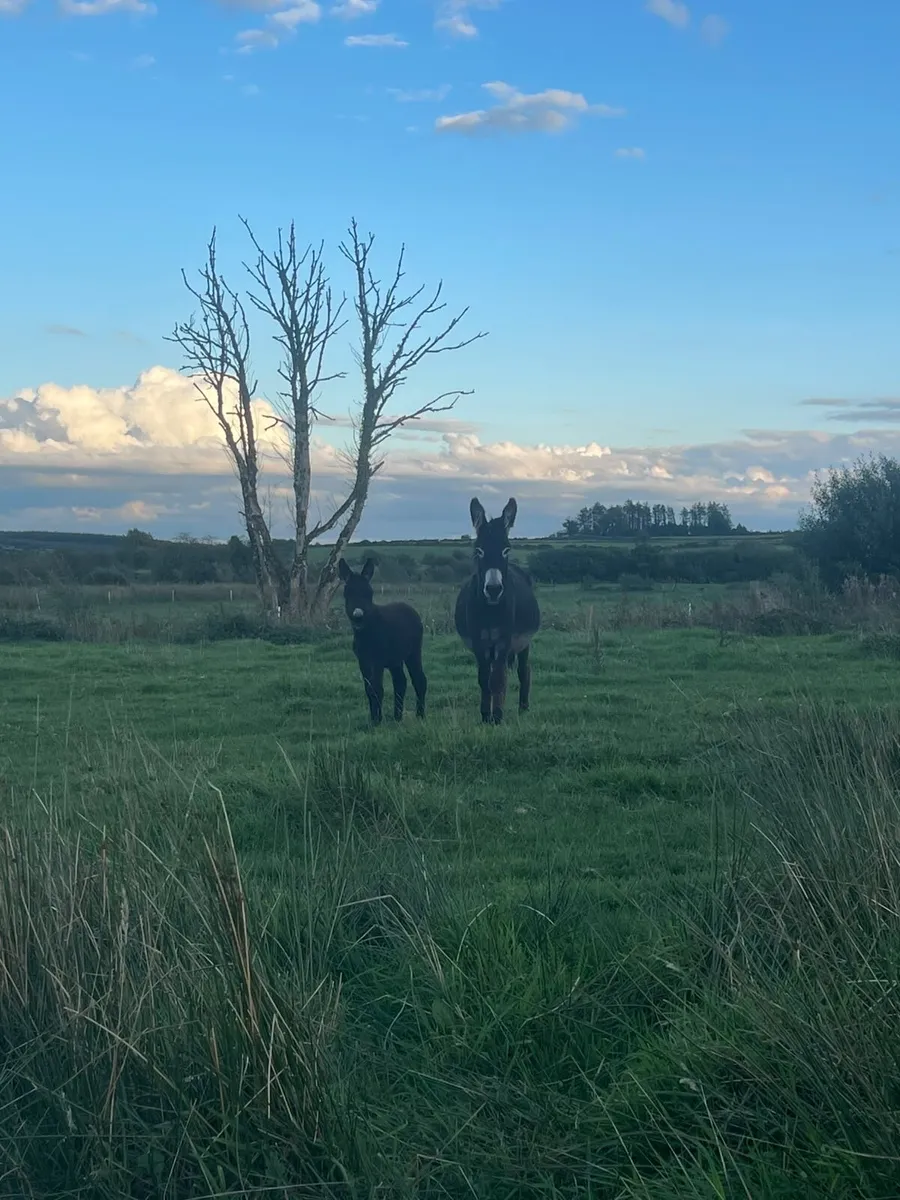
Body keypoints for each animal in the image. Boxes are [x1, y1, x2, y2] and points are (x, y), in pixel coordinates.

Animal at [338, 557, 427, 725]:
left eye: (369, 593)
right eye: (347, 593)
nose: (358, 615)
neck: (366, 632)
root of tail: (409, 608)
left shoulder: (377, 660)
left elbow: (377, 688)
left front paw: (377, 722)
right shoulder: (363, 661)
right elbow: (369, 689)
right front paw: (374, 719)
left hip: (413, 652)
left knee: (419, 680)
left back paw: (420, 715)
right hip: (395, 659)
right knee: (400, 682)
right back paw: (397, 717)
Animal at [454, 496, 541, 725]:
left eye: (506, 550)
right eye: (479, 550)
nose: (493, 589)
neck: (491, 612)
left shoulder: (504, 641)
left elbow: (499, 679)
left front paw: (497, 716)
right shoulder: (479, 642)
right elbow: (485, 679)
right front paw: (486, 715)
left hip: (523, 644)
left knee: (523, 670)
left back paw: (523, 707)